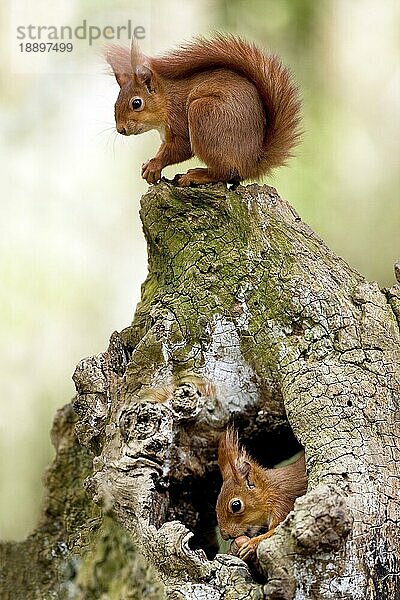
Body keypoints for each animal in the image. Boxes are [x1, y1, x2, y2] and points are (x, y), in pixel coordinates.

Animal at [104, 35, 302, 185]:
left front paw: (154, 165)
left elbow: (182, 148)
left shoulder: (179, 119)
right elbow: (164, 148)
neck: (167, 101)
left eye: (136, 103)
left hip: (203, 113)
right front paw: (150, 165)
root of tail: (253, 162)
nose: (121, 129)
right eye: (115, 104)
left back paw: (197, 175)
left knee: (227, 172)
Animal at [217, 428, 308, 560]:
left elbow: (275, 532)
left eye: (236, 506)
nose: (225, 535)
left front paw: (250, 545)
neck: (270, 491)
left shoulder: (283, 504)